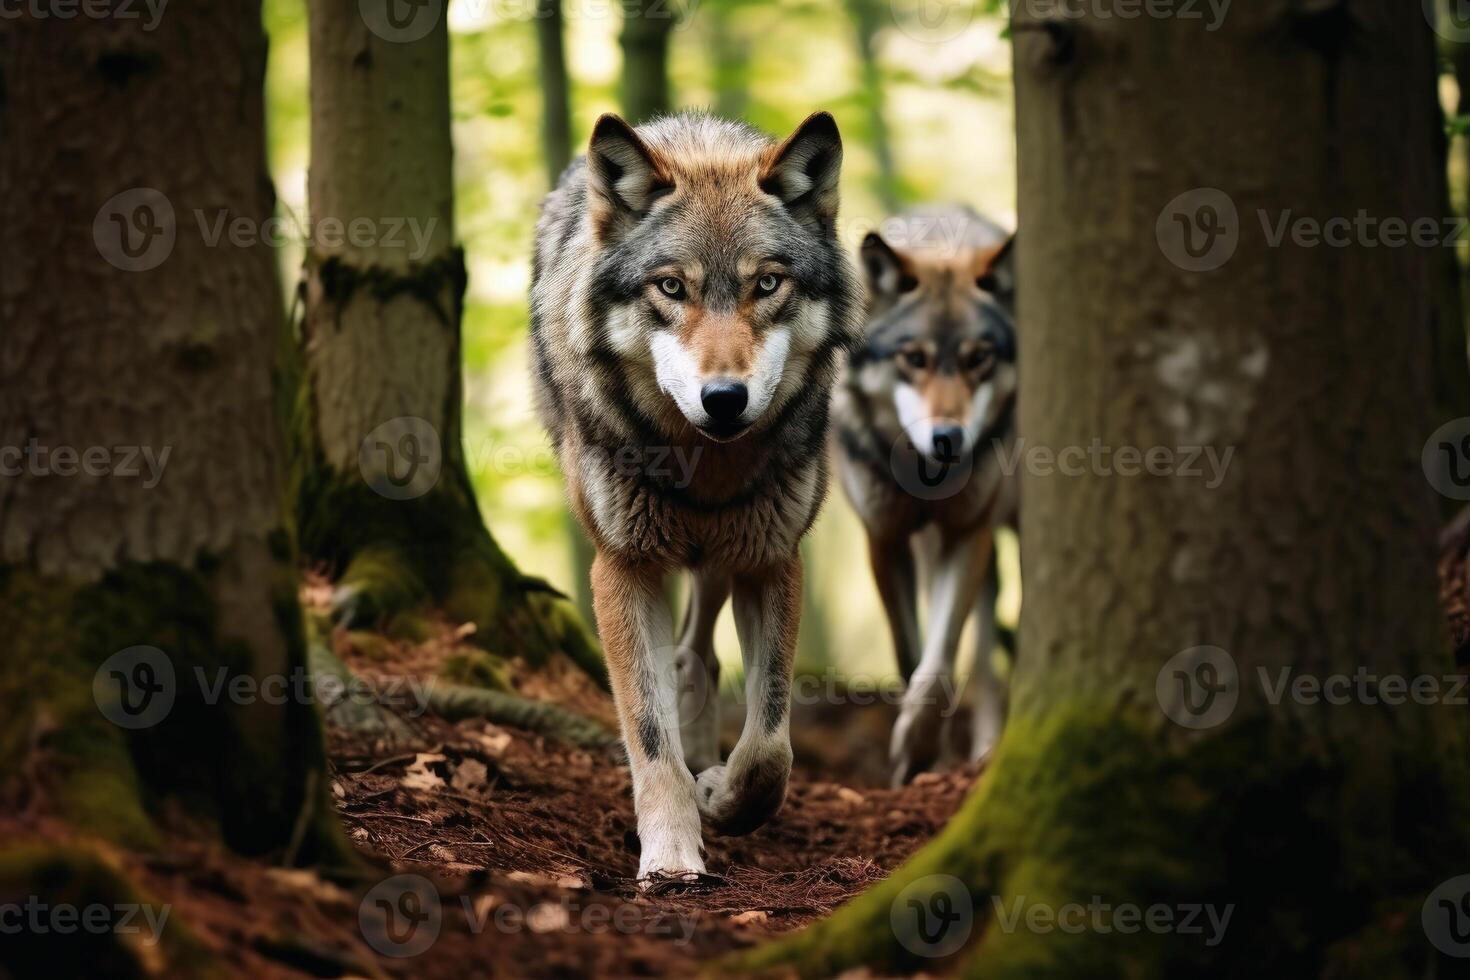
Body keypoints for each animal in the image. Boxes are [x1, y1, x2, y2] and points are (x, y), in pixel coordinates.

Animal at [532, 109, 858, 881]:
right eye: (671, 288)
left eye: (766, 283)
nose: (724, 398)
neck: (703, 465)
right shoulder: (622, 567)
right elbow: (650, 738)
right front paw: (672, 856)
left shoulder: (773, 560)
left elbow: (770, 746)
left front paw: (720, 795)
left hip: (726, 552)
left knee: (699, 655)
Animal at [834, 207, 1017, 787]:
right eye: (914, 358)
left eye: (977, 359)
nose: (948, 438)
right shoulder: (885, 540)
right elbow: (912, 656)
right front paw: (918, 760)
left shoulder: (966, 534)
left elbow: (938, 667)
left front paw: (917, 748)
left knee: (985, 659)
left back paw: (986, 751)